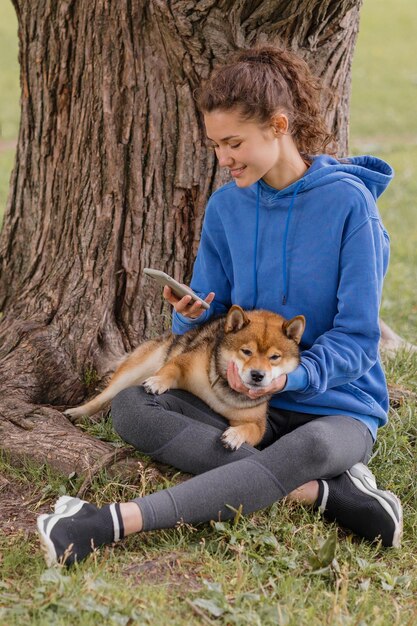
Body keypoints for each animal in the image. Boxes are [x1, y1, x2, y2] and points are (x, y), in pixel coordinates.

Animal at [66, 306, 306, 448]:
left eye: (275, 357)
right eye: (246, 351)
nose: (257, 375)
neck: (224, 392)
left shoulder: (257, 422)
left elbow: (251, 429)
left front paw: (235, 435)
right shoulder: (187, 361)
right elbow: (172, 368)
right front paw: (157, 382)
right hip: (137, 367)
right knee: (105, 396)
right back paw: (77, 412)